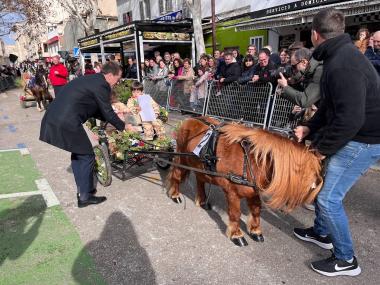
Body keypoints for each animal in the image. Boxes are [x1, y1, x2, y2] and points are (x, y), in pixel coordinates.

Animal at [167, 116, 324, 245]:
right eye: (313, 171)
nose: (318, 190)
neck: (251, 161)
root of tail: (190, 119)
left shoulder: (253, 191)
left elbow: (256, 210)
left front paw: (255, 231)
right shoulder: (232, 192)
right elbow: (235, 214)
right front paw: (237, 235)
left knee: (200, 180)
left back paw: (202, 200)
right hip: (182, 157)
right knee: (176, 174)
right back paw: (175, 195)